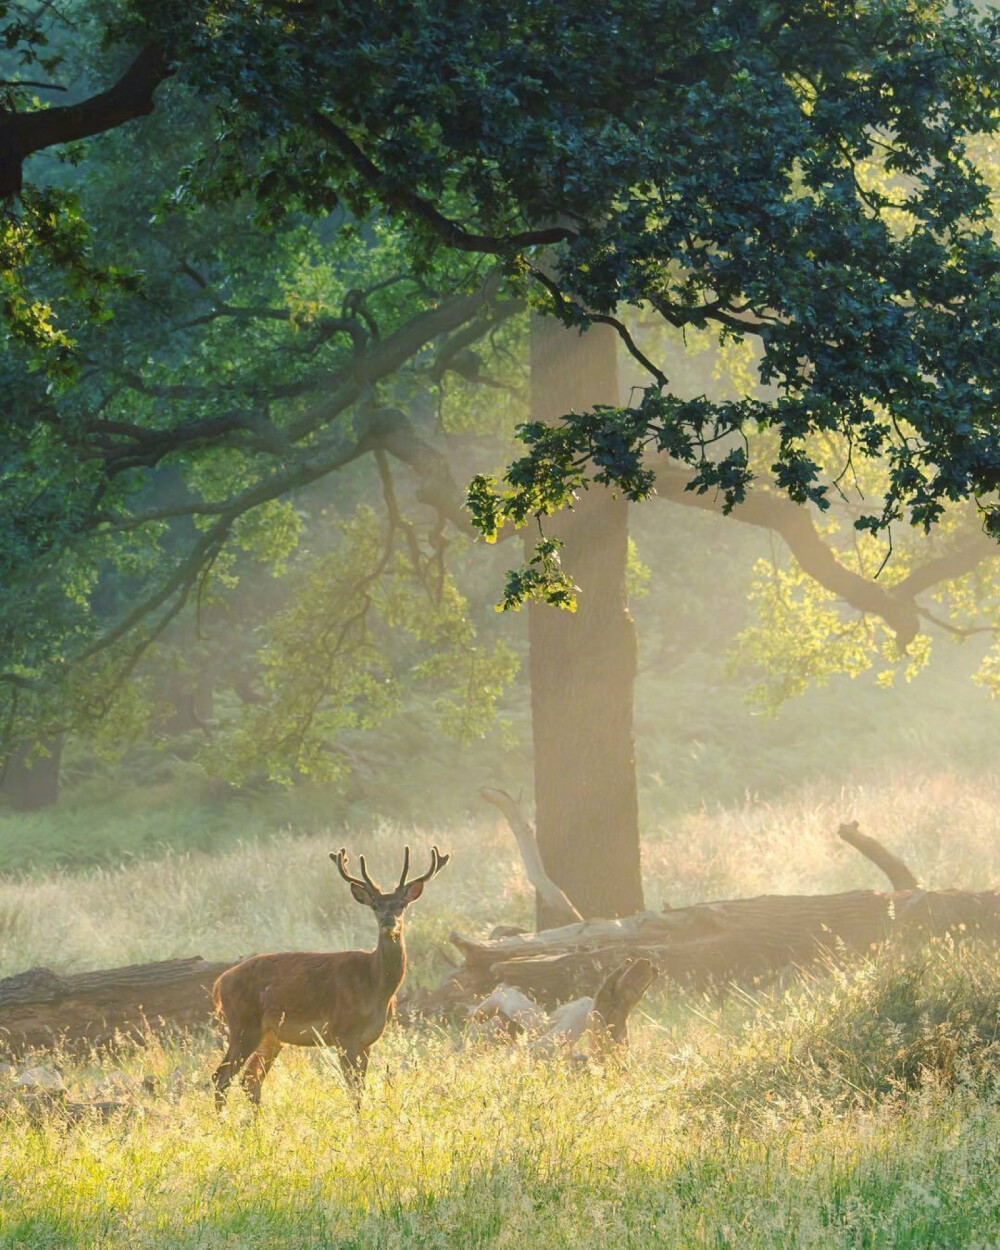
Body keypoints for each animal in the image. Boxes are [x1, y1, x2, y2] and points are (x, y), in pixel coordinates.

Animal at [212, 845, 450, 1110]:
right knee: (221, 1076)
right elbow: (353, 1090)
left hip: (271, 1036)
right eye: (375, 905)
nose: (389, 921)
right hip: (244, 1024)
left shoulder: (368, 1040)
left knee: (249, 1079)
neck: (376, 985)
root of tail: (220, 982)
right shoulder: (344, 1033)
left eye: (401, 904)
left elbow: (360, 1087)